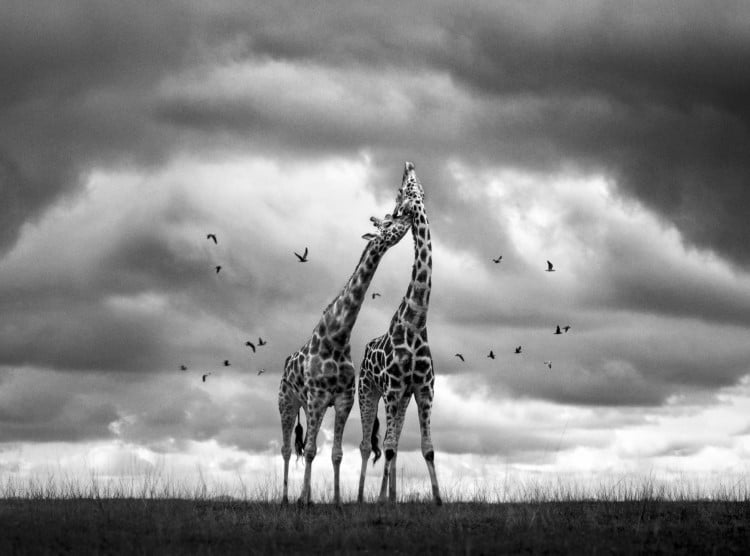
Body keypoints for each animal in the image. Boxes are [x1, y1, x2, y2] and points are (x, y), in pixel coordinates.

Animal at [280, 211, 412, 506]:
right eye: (387, 223)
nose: (408, 218)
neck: (337, 338)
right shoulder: (318, 398)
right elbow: (309, 451)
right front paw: (303, 502)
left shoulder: (342, 399)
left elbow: (335, 453)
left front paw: (338, 501)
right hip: (287, 401)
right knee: (286, 449)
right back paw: (286, 499)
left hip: (306, 405)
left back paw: (304, 496)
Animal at [356, 160, 444, 504]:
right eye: (405, 189)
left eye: (414, 188)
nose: (409, 165)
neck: (416, 321)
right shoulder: (393, 387)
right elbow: (389, 447)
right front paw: (380, 502)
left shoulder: (423, 388)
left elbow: (428, 449)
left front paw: (438, 500)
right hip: (369, 390)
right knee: (368, 444)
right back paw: (363, 498)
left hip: (402, 397)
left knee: (391, 439)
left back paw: (392, 496)